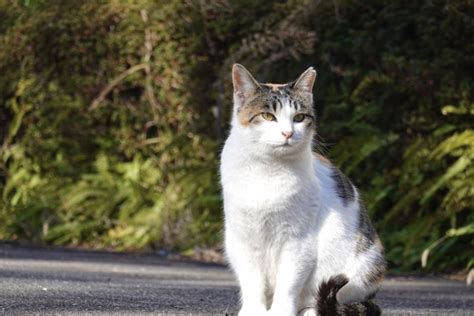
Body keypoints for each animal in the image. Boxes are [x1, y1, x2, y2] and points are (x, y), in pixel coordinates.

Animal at [220, 64, 386, 316]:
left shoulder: (297, 240)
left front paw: (279, 312)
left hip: (365, 267)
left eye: (299, 117)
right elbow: (252, 281)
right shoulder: (244, 238)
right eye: (268, 116)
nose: (288, 133)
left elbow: (288, 282)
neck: (267, 170)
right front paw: (254, 311)